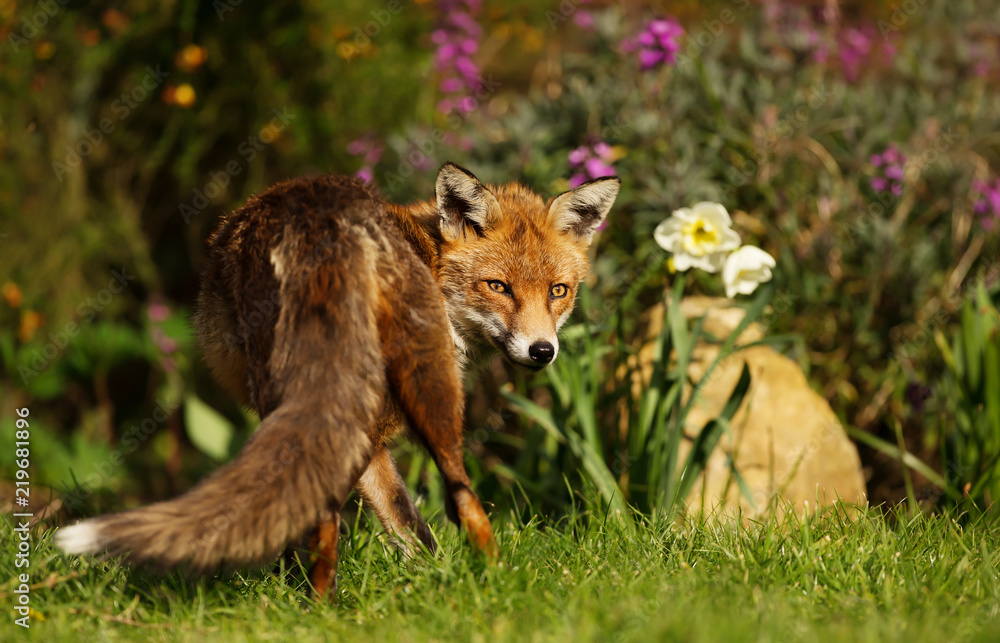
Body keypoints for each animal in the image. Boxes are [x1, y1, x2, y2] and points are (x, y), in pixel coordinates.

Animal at [55, 162, 620, 597]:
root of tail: (324, 226)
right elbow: (409, 527)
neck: (431, 261)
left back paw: (321, 608)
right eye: (498, 286)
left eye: (558, 291)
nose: (542, 351)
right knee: (460, 496)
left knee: (362, 511)